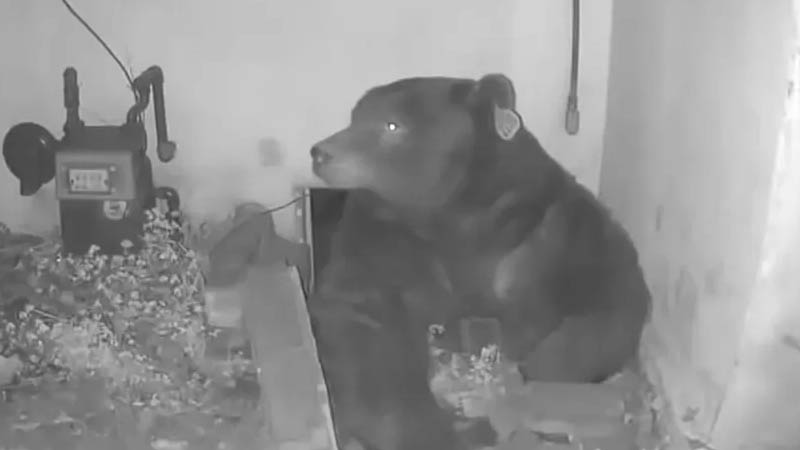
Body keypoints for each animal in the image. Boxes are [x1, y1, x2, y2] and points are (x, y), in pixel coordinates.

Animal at [307, 73, 651, 447]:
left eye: (392, 124)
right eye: (355, 116)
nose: (320, 152)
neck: (453, 213)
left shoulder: (542, 232)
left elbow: (600, 308)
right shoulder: (384, 238)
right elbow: (363, 323)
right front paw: (436, 428)